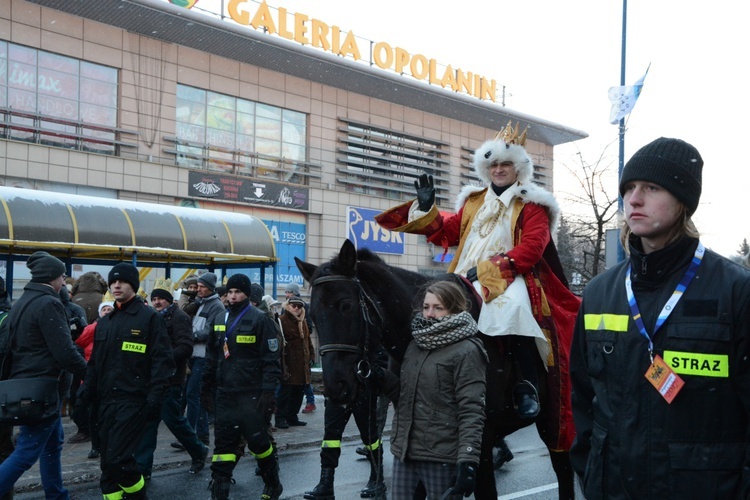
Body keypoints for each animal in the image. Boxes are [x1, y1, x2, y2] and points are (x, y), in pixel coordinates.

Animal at [296, 240, 576, 498]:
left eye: (345, 305)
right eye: (314, 314)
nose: (336, 386)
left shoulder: (481, 440)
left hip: (555, 423)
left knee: (564, 471)